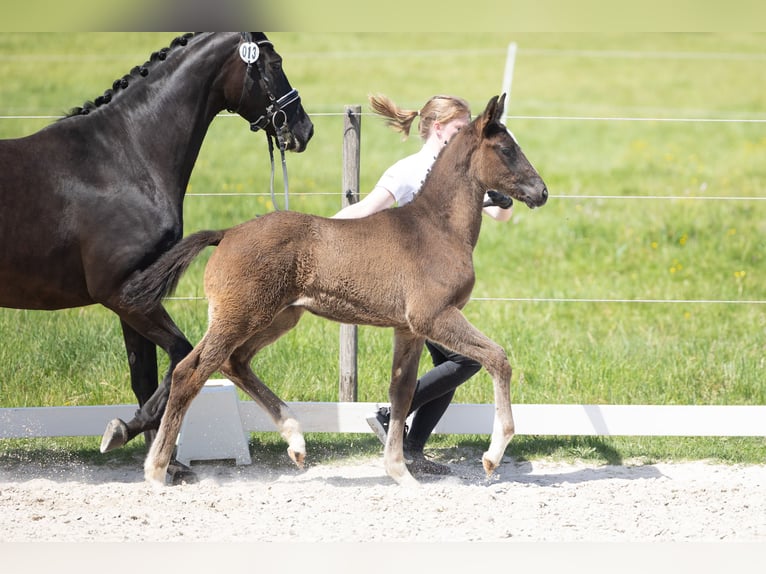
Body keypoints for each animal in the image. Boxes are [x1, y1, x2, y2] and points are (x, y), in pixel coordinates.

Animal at [0, 32, 314, 479]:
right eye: (274, 63)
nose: (304, 129)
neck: (124, 160)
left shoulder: (132, 302)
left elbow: (145, 375)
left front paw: (162, 457)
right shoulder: (125, 295)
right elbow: (182, 354)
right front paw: (123, 433)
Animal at [120, 94, 548, 487]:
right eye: (506, 149)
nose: (540, 191)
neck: (436, 229)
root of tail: (227, 233)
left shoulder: (408, 329)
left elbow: (401, 392)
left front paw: (400, 472)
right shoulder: (433, 316)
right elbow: (497, 358)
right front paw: (492, 456)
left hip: (280, 317)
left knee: (235, 362)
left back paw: (295, 441)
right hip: (241, 316)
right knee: (190, 371)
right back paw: (157, 470)